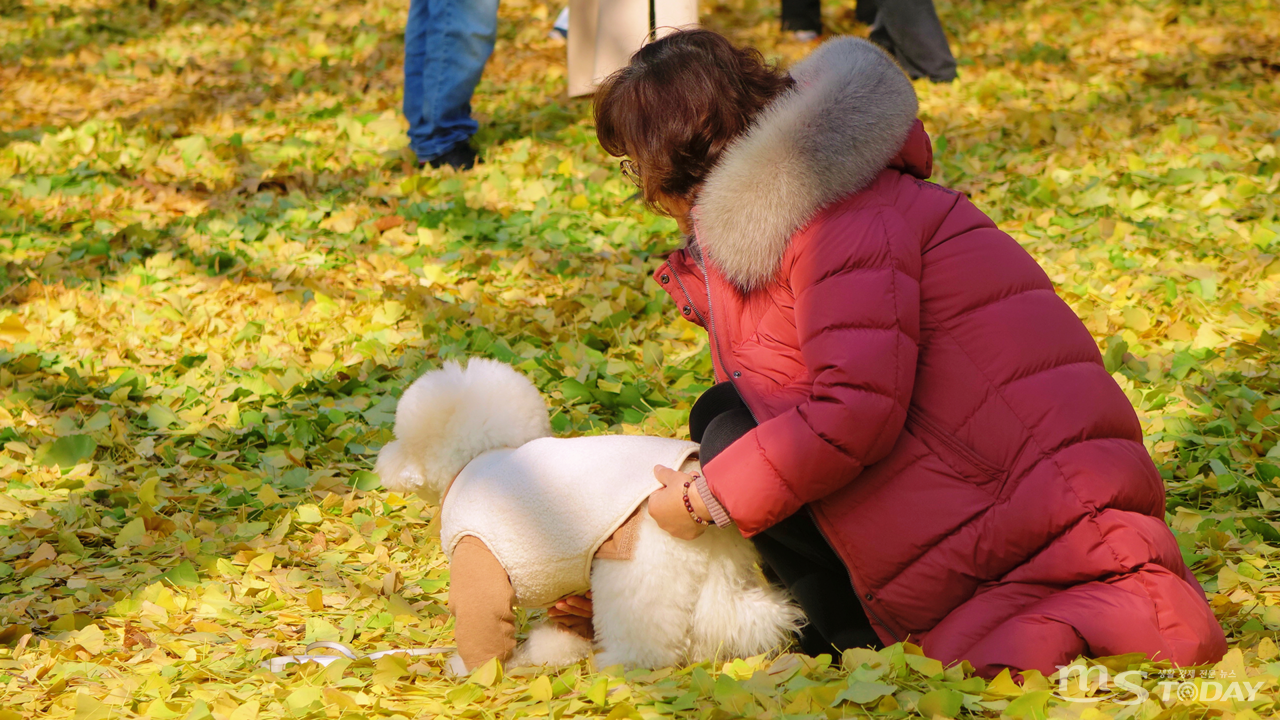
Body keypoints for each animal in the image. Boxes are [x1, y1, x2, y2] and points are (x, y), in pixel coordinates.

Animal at [373, 361, 803, 671]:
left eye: (400, 437)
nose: (383, 460)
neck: (474, 462)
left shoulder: (477, 553)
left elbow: (483, 622)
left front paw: (476, 672)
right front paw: (557, 649)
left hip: (636, 570)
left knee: (649, 644)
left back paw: (616, 664)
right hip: (710, 570)